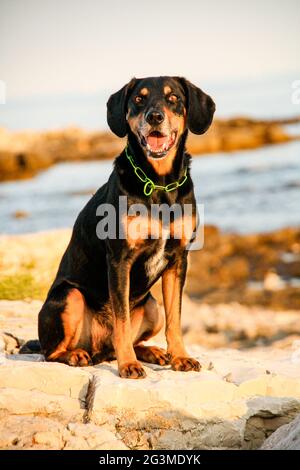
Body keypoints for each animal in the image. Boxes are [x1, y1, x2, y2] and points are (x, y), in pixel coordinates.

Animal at [38, 76, 216, 378]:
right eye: (139, 99)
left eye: (173, 98)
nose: (154, 117)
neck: (159, 182)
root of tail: (97, 348)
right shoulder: (120, 260)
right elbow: (120, 321)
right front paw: (128, 365)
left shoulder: (178, 259)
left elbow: (176, 319)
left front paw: (180, 357)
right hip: (69, 296)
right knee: (50, 352)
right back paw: (76, 355)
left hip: (152, 307)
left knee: (135, 336)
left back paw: (154, 352)